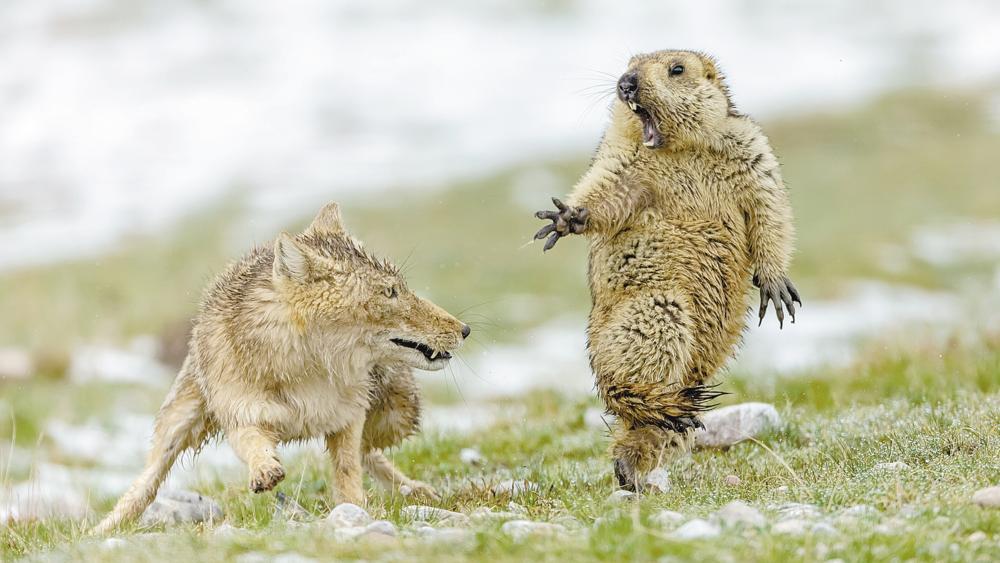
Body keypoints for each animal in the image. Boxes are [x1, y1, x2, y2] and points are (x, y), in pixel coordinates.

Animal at [94, 203, 468, 532]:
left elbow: (348, 471)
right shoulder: (242, 415)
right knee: (146, 483)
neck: (306, 371)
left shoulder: (347, 417)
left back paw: (415, 490)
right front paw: (264, 470)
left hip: (397, 415)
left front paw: (356, 511)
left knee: (370, 453)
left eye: (401, 288)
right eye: (390, 293)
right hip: (177, 423)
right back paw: (104, 529)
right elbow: (253, 444)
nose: (464, 329)